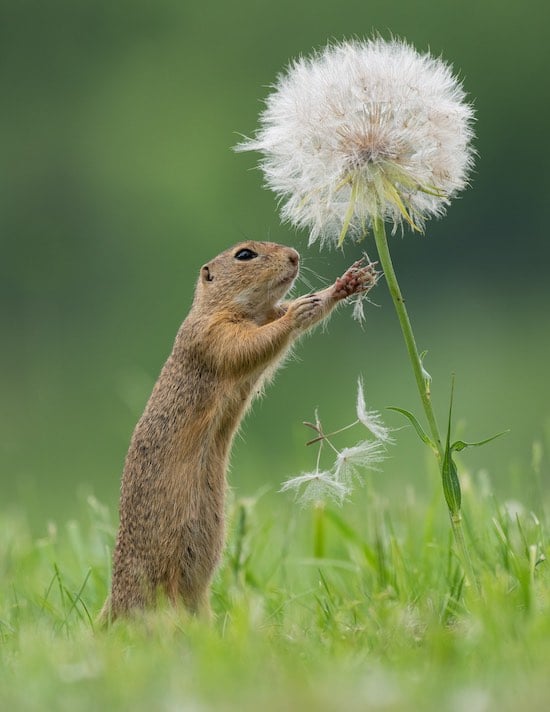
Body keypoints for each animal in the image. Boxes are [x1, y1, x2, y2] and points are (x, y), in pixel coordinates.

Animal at [102, 242, 380, 620]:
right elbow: (250, 345)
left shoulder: (261, 317)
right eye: (244, 254)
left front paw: (344, 285)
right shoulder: (213, 334)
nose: (294, 255)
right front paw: (300, 311)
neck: (238, 309)